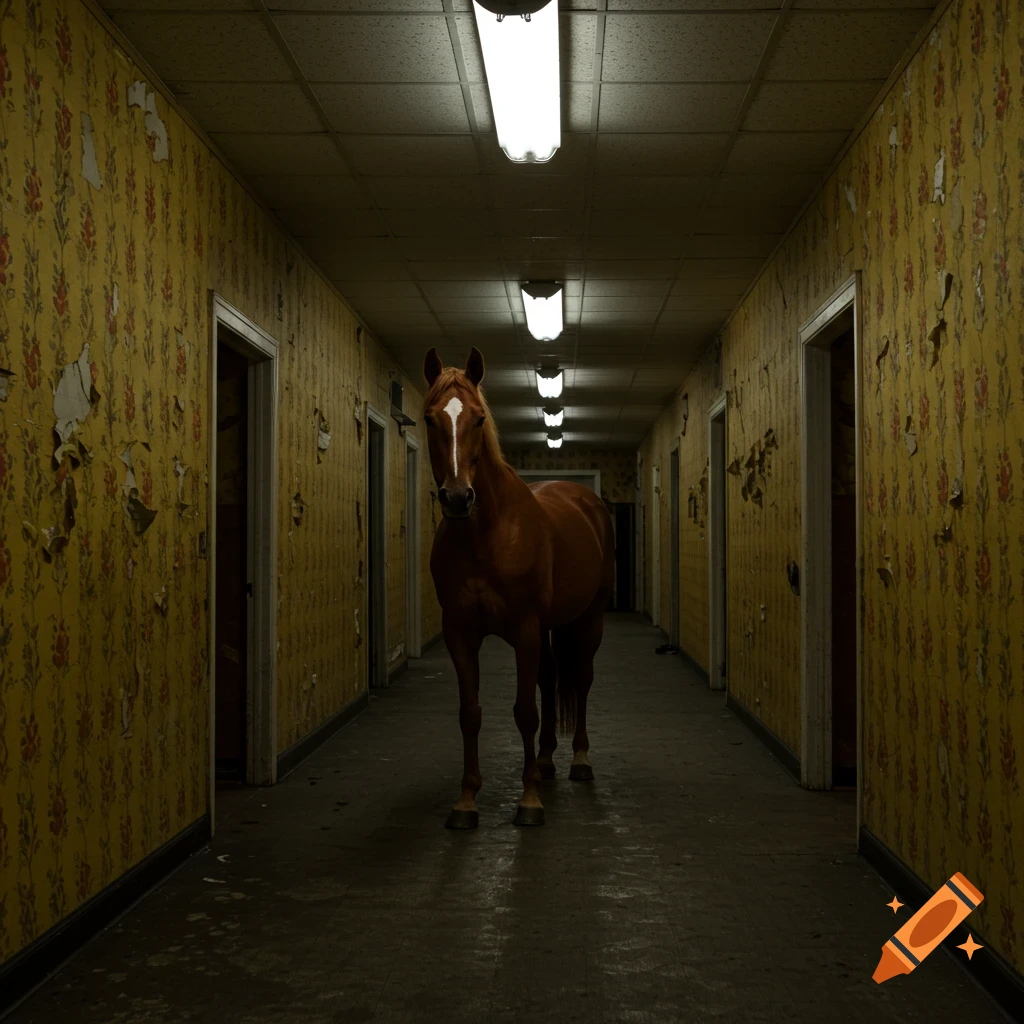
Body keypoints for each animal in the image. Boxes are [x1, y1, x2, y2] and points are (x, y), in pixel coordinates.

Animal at [422, 346, 615, 829]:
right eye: (430, 419)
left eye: (477, 419)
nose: (458, 498)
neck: (485, 535)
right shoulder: (460, 634)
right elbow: (470, 713)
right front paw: (466, 800)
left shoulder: (524, 629)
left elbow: (525, 711)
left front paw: (528, 801)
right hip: (547, 628)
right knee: (548, 679)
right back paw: (544, 762)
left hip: (590, 618)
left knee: (580, 679)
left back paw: (578, 760)